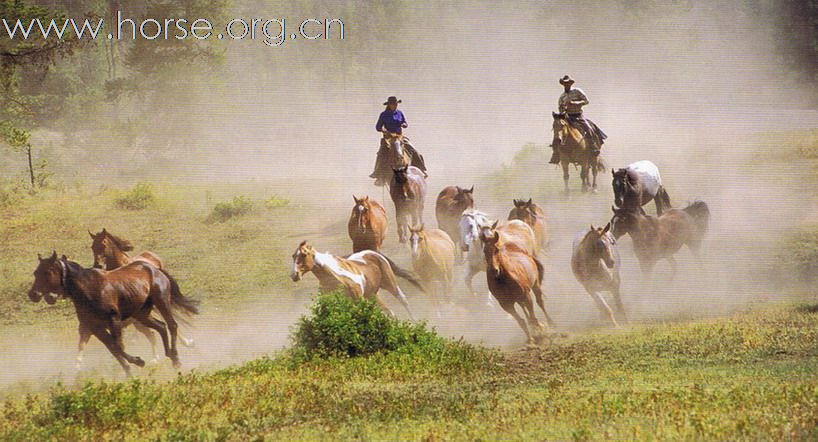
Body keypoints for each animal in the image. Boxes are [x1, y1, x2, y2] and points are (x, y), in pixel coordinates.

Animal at [28, 252, 198, 376]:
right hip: (141, 314)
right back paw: (170, 355)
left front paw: (138, 361)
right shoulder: (94, 328)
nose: (33, 294)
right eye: (35, 272)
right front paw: (129, 372)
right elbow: (113, 349)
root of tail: (154, 269)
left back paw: (175, 358)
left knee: (172, 325)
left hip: (161, 302)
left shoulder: (113, 321)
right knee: (161, 327)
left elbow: (117, 346)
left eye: (47, 272)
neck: (89, 290)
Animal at [290, 240, 420, 320]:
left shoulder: (358, 301)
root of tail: (373, 253)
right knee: (390, 312)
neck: (335, 279)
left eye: (304, 254)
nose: (294, 275)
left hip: (390, 284)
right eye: (293, 256)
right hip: (372, 295)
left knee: (403, 301)